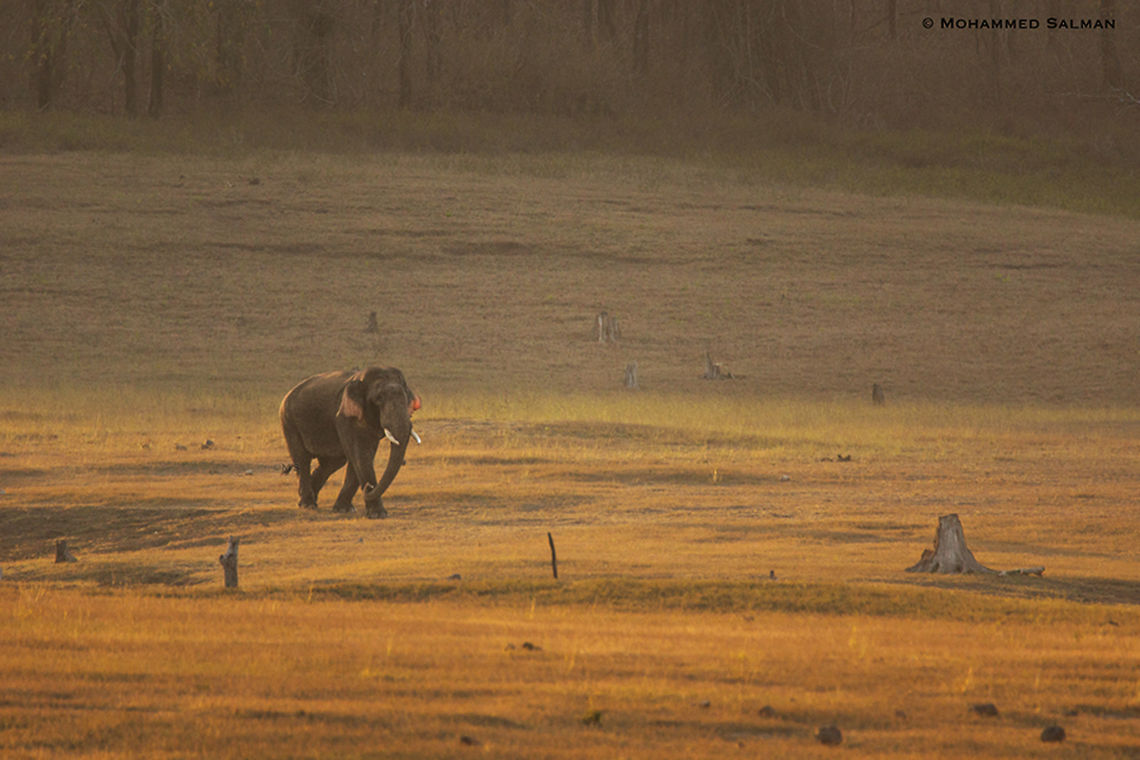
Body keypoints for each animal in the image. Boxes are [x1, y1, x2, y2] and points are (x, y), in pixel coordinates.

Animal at [279, 367, 420, 518]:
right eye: (378, 399)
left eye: (406, 398)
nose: (368, 487)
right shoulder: (345, 417)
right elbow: (360, 454)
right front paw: (378, 514)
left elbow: (362, 455)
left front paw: (344, 509)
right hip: (289, 422)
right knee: (302, 459)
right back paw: (308, 504)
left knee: (332, 463)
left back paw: (309, 498)